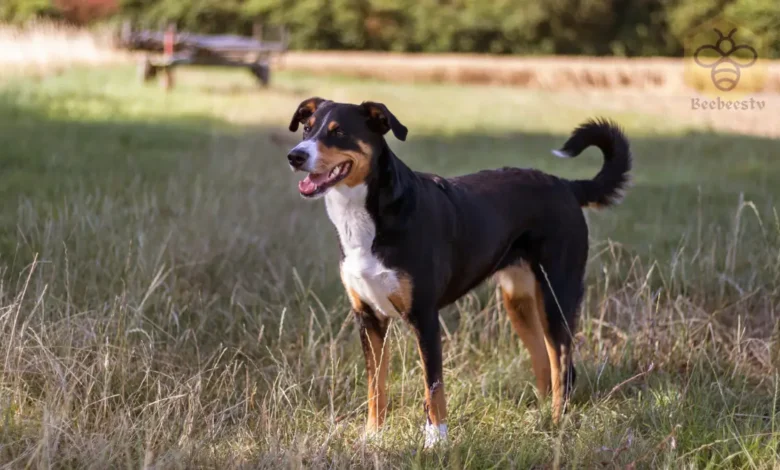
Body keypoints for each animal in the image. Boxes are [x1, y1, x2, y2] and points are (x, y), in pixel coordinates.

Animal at [284, 97, 632, 446]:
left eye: (339, 132)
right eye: (307, 129)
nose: (295, 156)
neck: (366, 217)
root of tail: (565, 186)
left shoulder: (425, 317)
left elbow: (433, 387)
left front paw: (436, 442)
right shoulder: (368, 317)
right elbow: (375, 386)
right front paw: (373, 436)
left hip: (556, 296)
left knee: (563, 366)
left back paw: (558, 423)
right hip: (519, 301)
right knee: (545, 362)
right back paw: (541, 419)